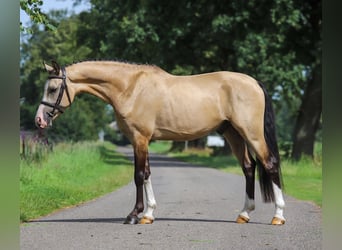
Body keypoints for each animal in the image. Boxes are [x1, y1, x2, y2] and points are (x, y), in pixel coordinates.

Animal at [35, 60, 286, 225]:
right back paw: (244, 214)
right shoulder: (141, 140)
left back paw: (278, 216)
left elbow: (138, 176)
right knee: (249, 167)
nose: (39, 120)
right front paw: (148, 214)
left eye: (53, 89)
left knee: (269, 164)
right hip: (233, 134)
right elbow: (146, 174)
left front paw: (133, 215)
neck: (130, 88)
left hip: (252, 134)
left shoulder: (140, 139)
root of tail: (254, 82)